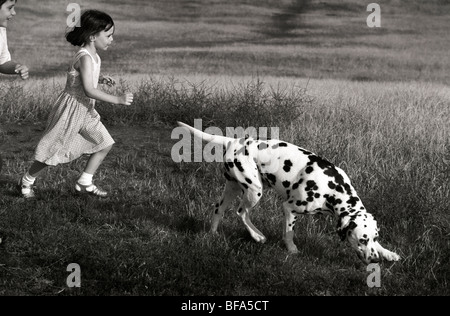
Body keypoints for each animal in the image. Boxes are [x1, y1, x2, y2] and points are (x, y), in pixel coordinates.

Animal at [178, 121, 400, 264]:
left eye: (375, 238)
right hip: (254, 190)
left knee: (219, 209)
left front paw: (388, 252)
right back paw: (257, 236)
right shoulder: (290, 208)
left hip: (232, 187)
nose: (375, 260)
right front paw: (291, 248)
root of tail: (234, 142)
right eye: (361, 239)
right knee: (241, 213)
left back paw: (213, 233)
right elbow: (289, 233)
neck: (333, 189)